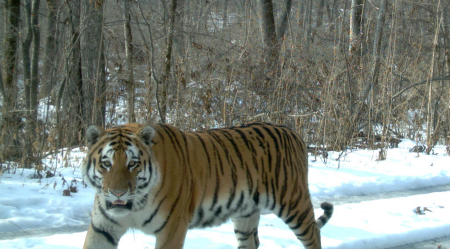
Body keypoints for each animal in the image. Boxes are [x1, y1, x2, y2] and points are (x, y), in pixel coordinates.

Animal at [82, 122, 332, 249]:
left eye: (132, 164)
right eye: (106, 164)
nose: (118, 193)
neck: (134, 205)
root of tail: (294, 133)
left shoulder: (172, 229)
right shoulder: (102, 228)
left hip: (294, 204)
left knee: (314, 235)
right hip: (246, 214)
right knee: (252, 241)